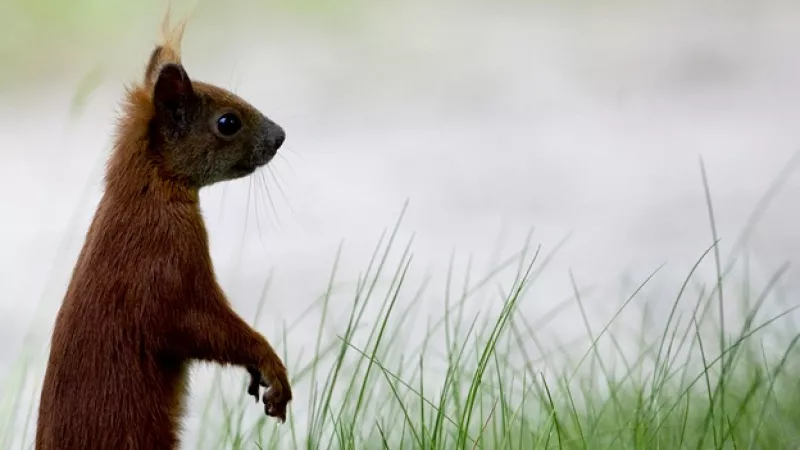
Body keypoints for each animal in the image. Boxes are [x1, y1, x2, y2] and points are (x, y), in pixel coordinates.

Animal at [34, 11, 292, 450]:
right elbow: (208, 328)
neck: (143, 197)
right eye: (228, 122)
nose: (280, 136)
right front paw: (272, 370)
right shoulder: (167, 274)